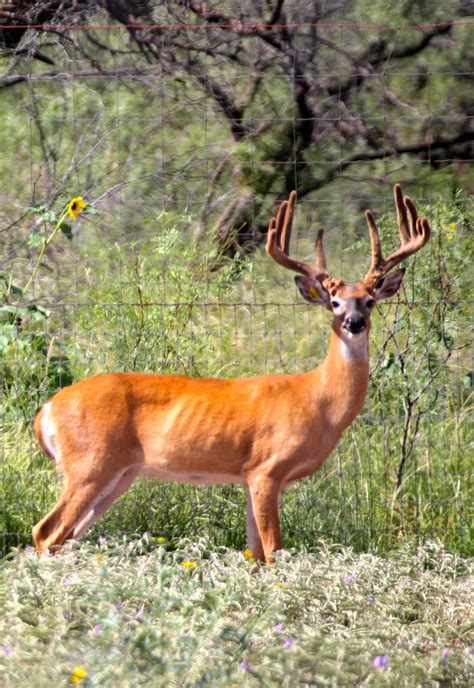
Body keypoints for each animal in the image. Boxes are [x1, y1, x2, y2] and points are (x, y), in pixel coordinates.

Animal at [34, 185, 430, 560]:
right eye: (334, 302)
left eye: (370, 301)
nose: (354, 322)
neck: (317, 401)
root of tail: (46, 410)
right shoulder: (266, 469)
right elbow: (274, 553)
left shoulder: (247, 476)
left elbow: (255, 555)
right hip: (89, 463)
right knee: (45, 532)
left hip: (120, 474)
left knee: (64, 537)